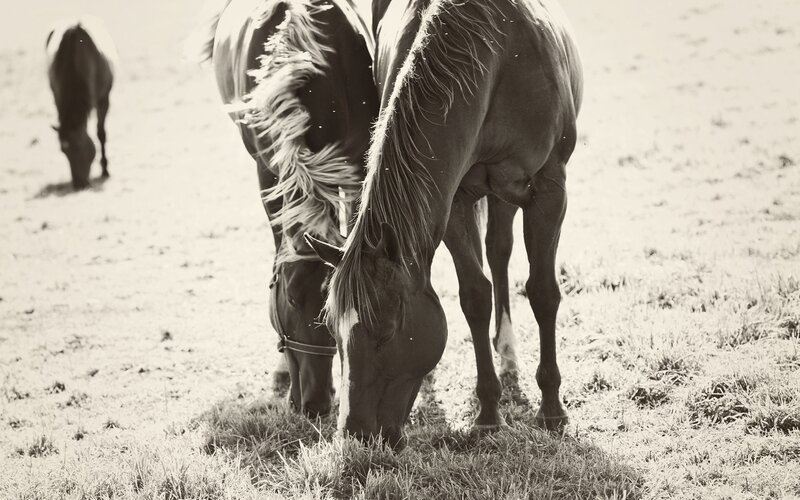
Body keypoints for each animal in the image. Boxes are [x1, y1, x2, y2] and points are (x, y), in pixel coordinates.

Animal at [46, 17, 117, 190]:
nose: (79, 184)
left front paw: (105, 170)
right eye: (63, 151)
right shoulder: (58, 99)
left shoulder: (104, 99)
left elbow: (101, 134)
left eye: (79, 147)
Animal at [306, 0, 582, 448]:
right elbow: (475, 296)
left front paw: (552, 410)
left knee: (501, 251)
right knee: (496, 252)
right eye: (332, 330)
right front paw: (488, 414)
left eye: (386, 330)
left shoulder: (549, 188)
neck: (497, 54)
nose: (355, 434)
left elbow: (542, 292)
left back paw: (509, 352)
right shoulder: (454, 200)